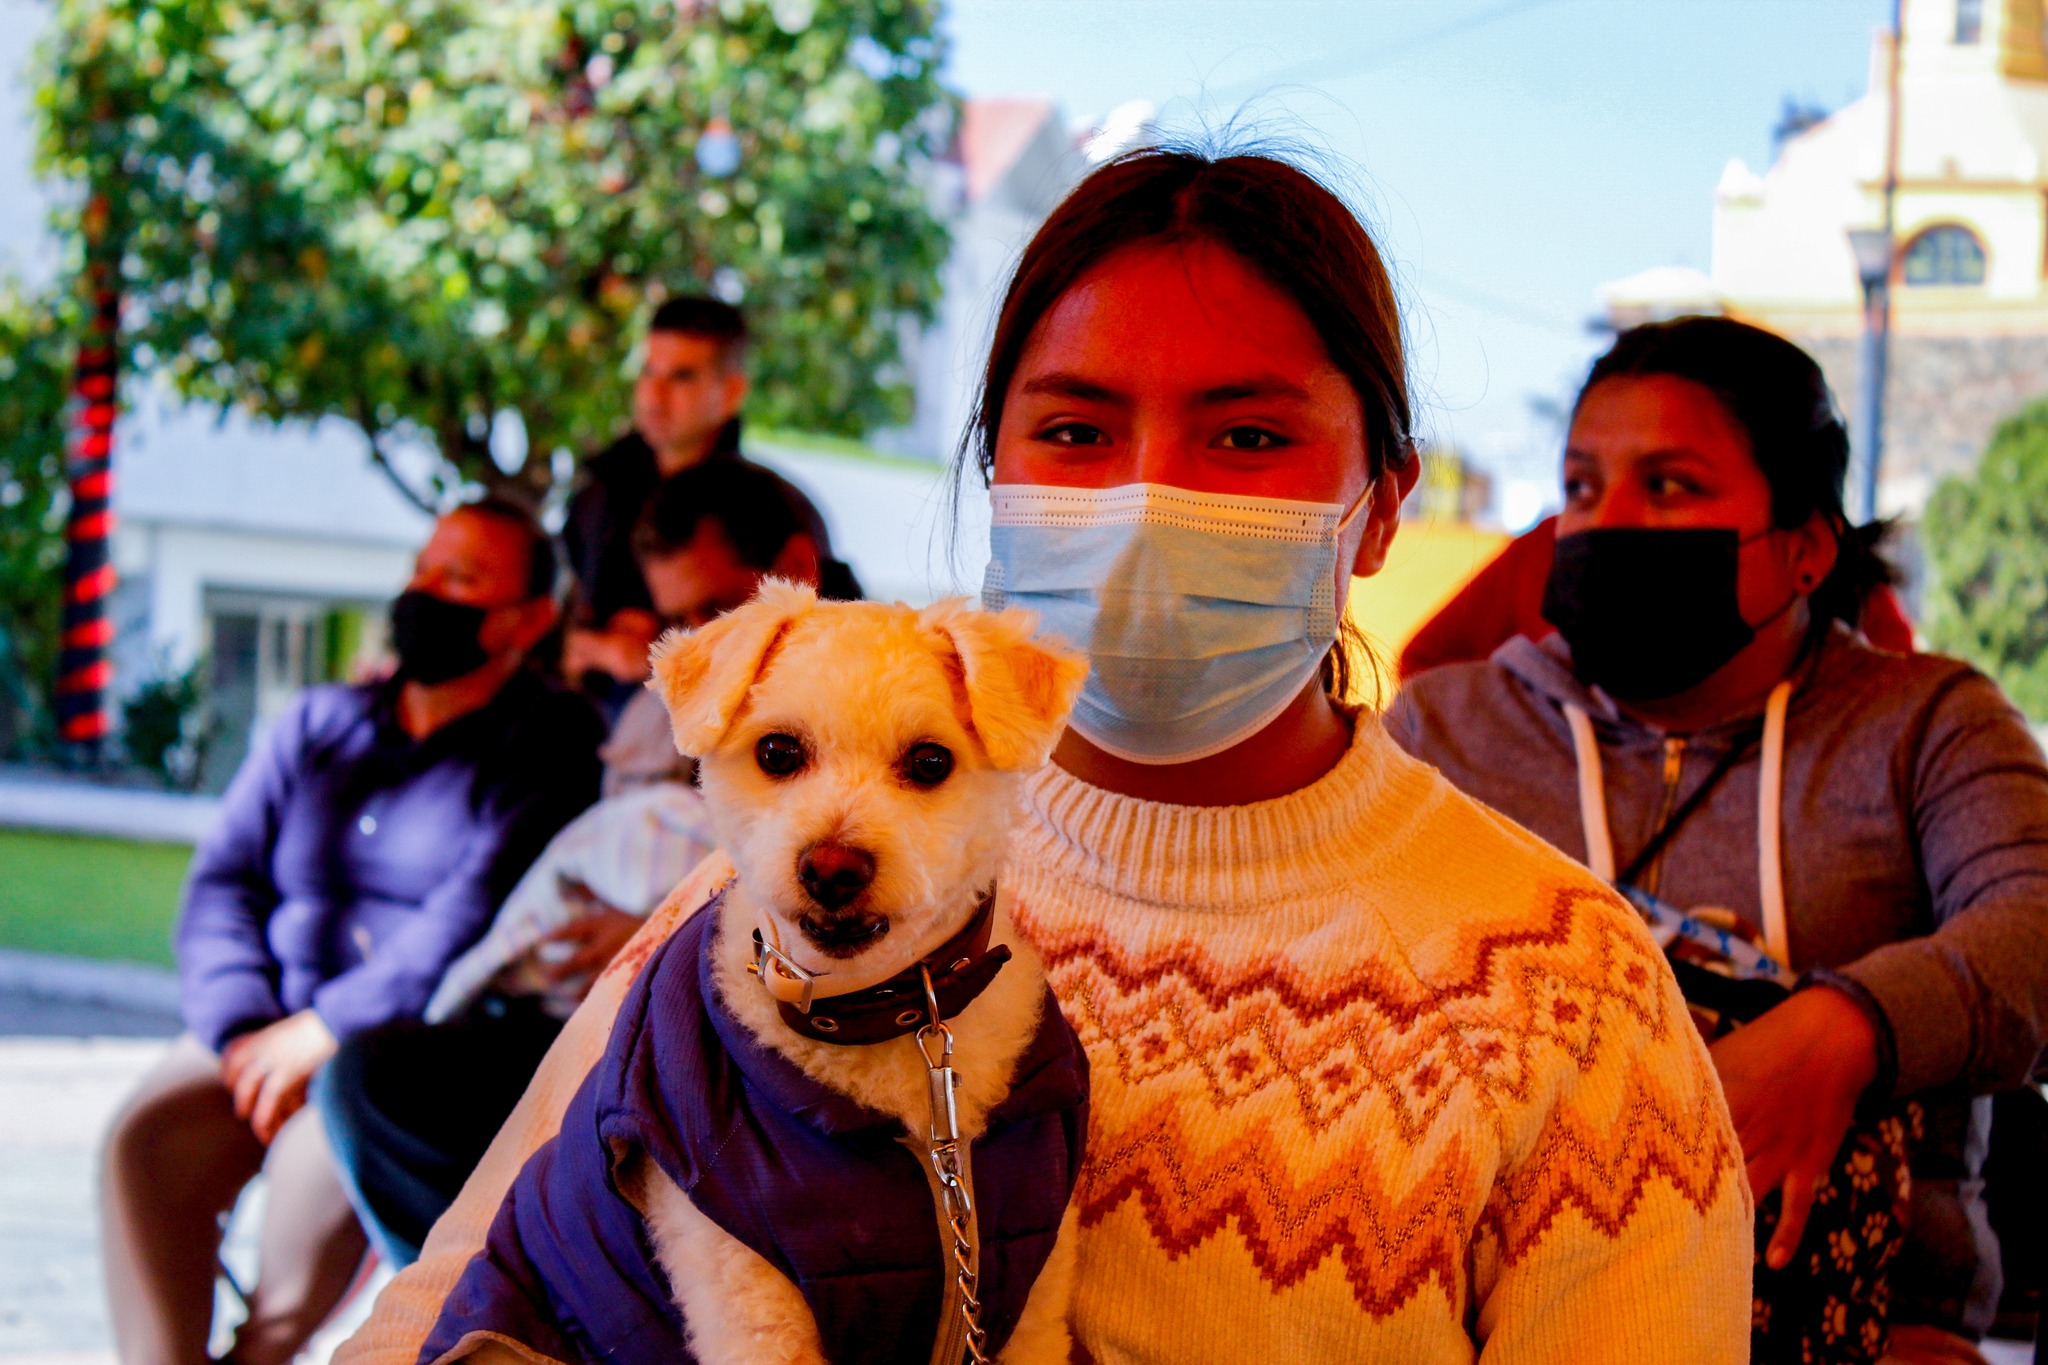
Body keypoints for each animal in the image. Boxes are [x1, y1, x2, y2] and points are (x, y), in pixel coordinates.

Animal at [425, 581, 1097, 1365]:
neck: (884, 1020)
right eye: (778, 751)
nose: (832, 868)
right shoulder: (739, 1282)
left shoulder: (1030, 1296)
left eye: (931, 762)